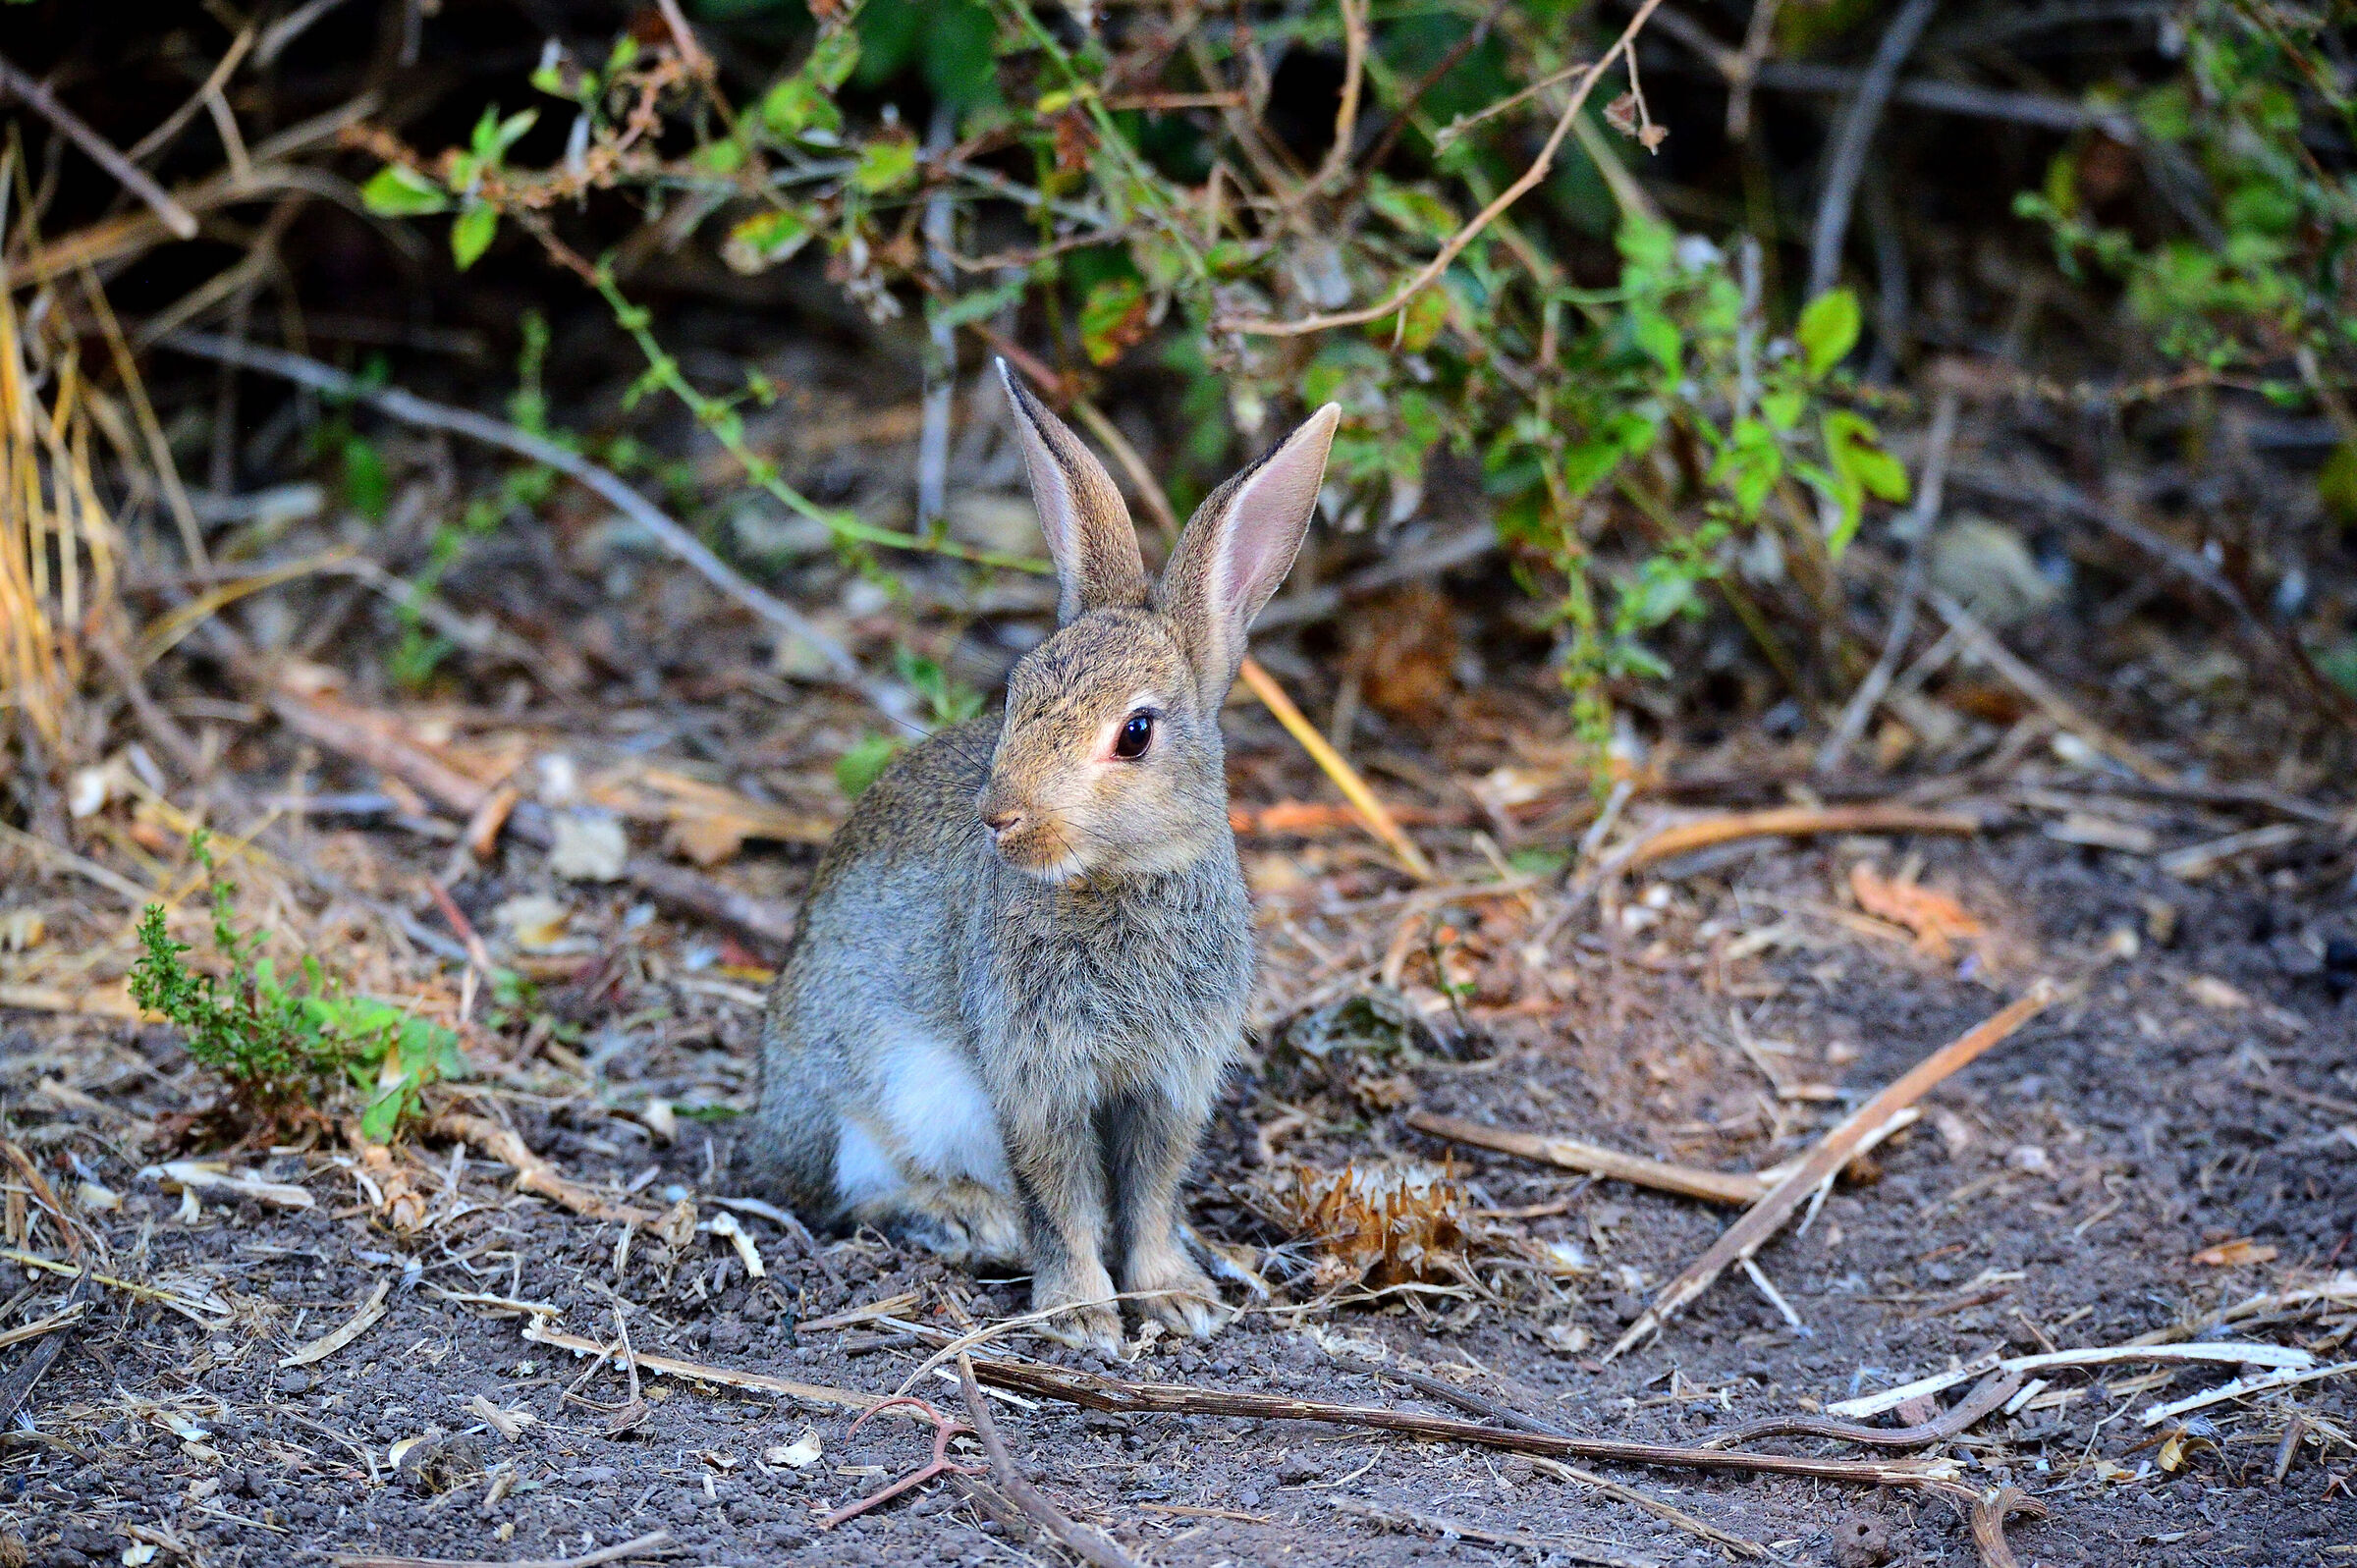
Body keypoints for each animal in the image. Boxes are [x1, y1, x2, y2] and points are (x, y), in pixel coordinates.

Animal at [745, 362, 1338, 1351]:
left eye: (1135, 733)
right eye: (1015, 694)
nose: (999, 816)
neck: (1117, 880)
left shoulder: (1168, 1085)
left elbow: (1148, 1192)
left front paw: (1174, 1296)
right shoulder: (1035, 1079)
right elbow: (1059, 1196)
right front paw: (1082, 1314)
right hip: (886, 1091)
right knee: (854, 1189)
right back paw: (970, 1219)